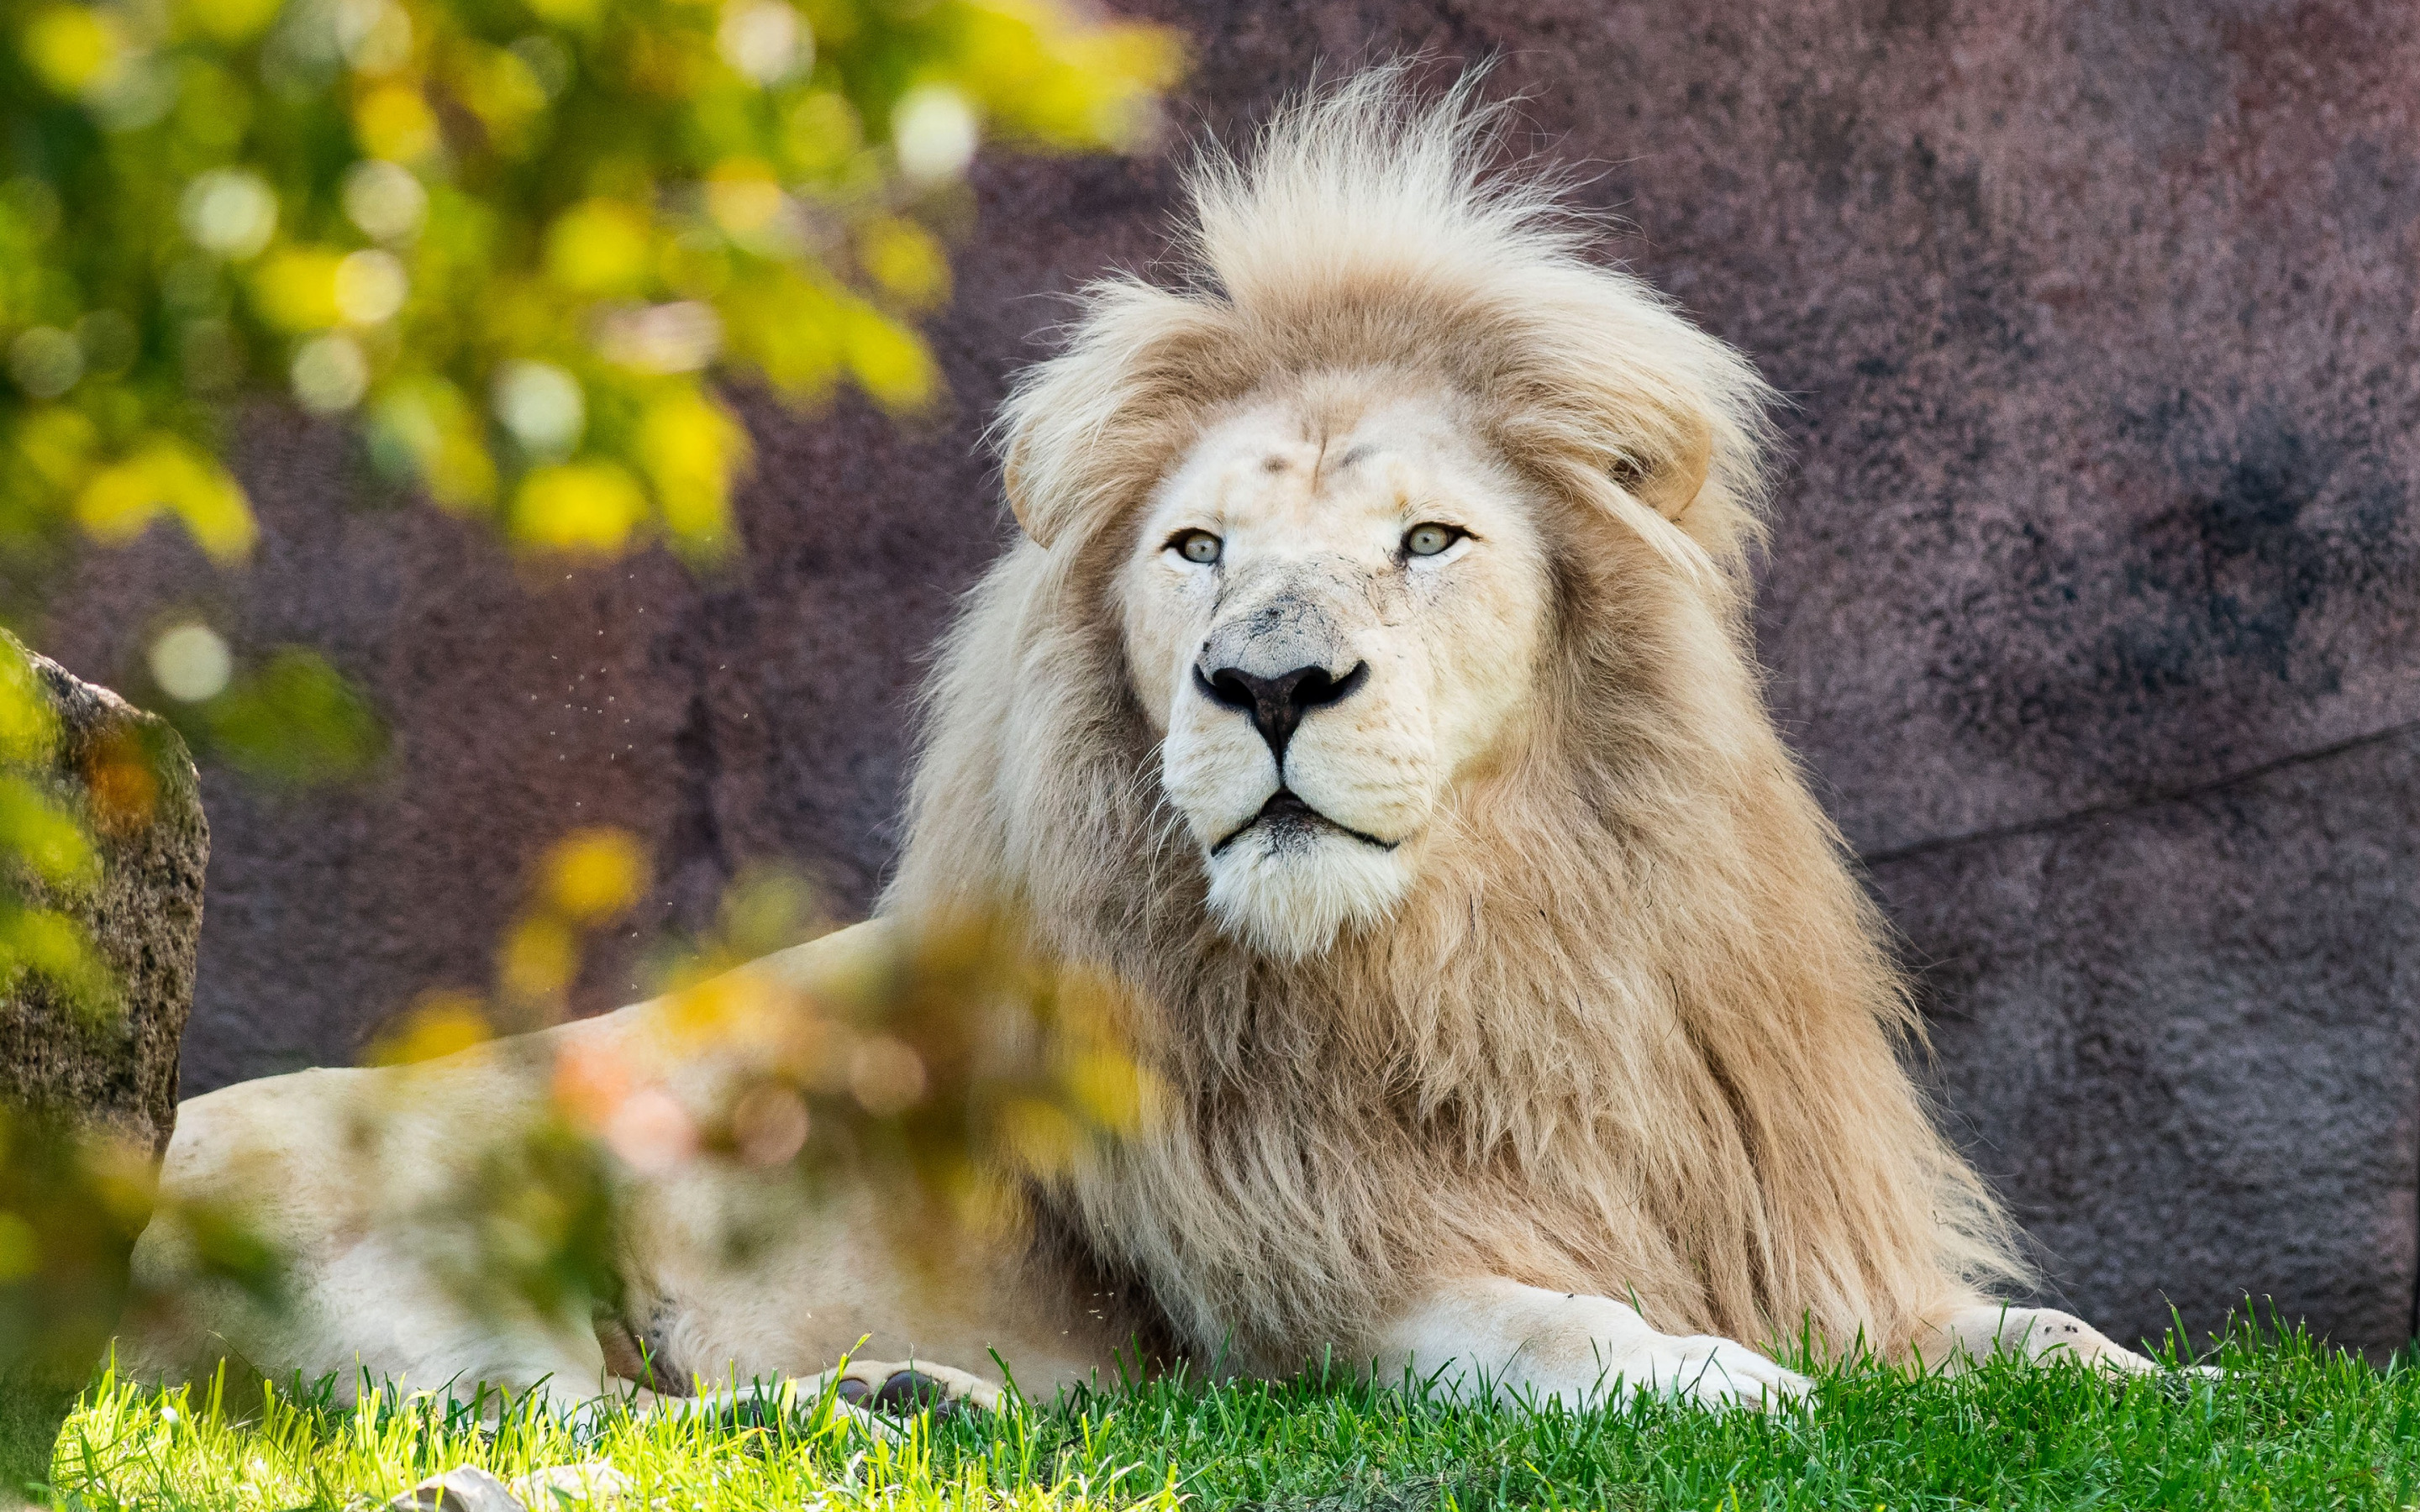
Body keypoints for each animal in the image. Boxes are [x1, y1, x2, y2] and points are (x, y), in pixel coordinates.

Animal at [123, 70, 2168, 1421]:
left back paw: (910, 1398)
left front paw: (2149, 1374)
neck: (1491, 966)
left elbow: (2034, 1345)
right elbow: (1540, 1326)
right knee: (562, 1427)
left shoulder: (1779, 1229)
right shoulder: (1299, 1311)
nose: (1268, 687)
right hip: (425, 1260)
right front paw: (1719, 1384)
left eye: (1431, 540)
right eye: (1198, 552)